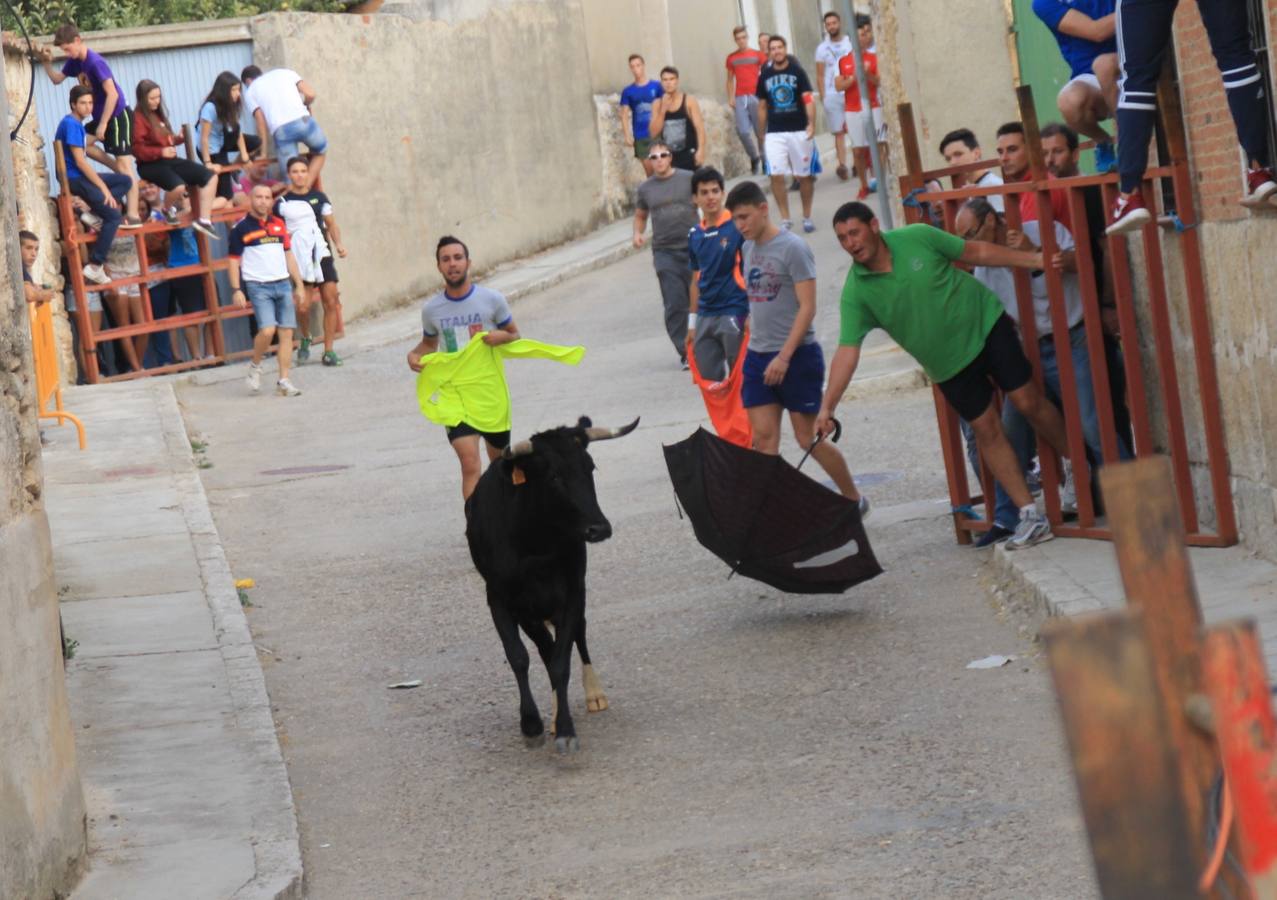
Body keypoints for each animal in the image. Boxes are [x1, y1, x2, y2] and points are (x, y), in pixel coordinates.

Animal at [464, 413, 638, 750]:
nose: (600, 528)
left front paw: (566, 729)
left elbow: (561, 660)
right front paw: (531, 723)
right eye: (554, 477)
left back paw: (593, 694)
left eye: (590, 467)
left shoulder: (572, 591)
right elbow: (520, 656)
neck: (536, 544)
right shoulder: (501, 598)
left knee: (576, 638)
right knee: (545, 648)